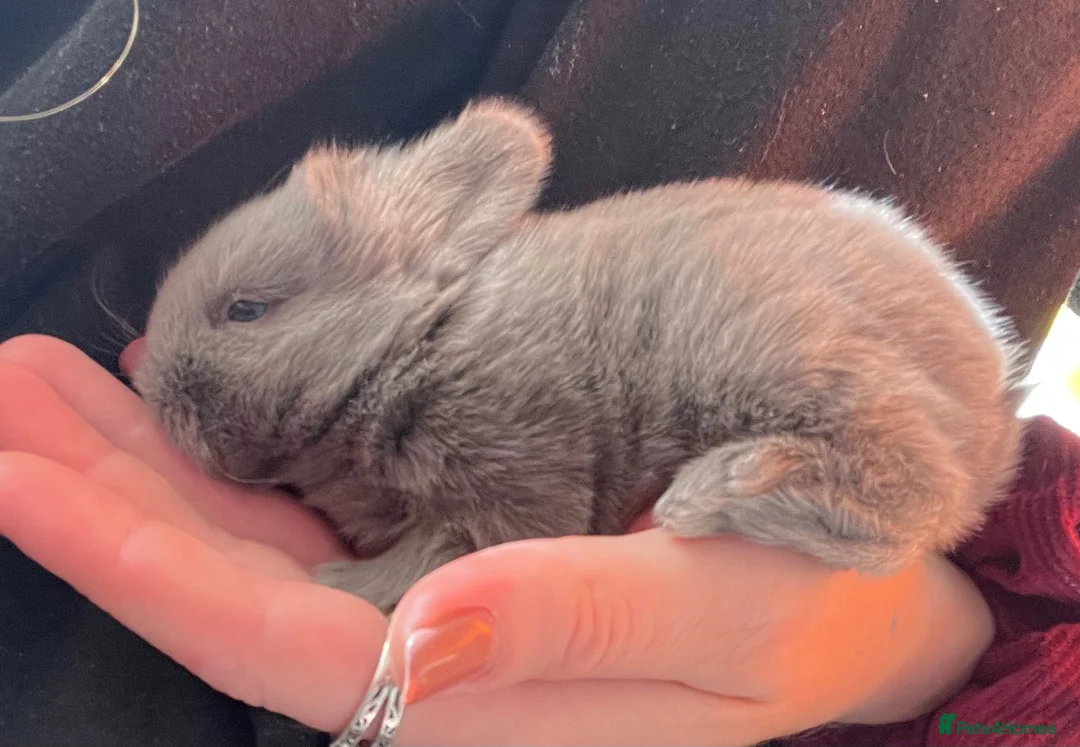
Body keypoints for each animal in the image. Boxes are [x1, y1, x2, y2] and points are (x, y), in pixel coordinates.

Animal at [133, 98, 1025, 614]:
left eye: (246, 310)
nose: (148, 379)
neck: (415, 339)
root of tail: (997, 408)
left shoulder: (515, 473)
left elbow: (435, 555)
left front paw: (340, 586)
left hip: (787, 352)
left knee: (914, 491)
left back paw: (719, 490)